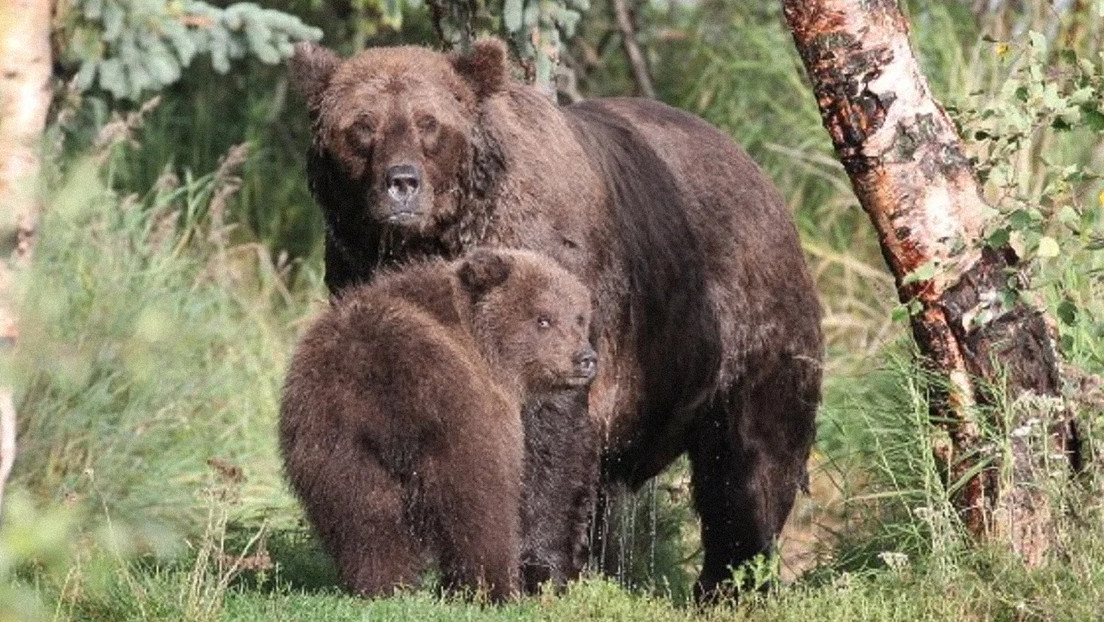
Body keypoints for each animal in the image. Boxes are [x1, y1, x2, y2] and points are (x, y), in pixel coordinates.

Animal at [289, 40, 825, 605]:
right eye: (362, 125)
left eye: (429, 122)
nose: (402, 183)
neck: (435, 239)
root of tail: (753, 163)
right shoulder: (358, 277)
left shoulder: (555, 282)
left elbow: (546, 437)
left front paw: (536, 569)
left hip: (740, 325)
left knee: (750, 463)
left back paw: (732, 582)